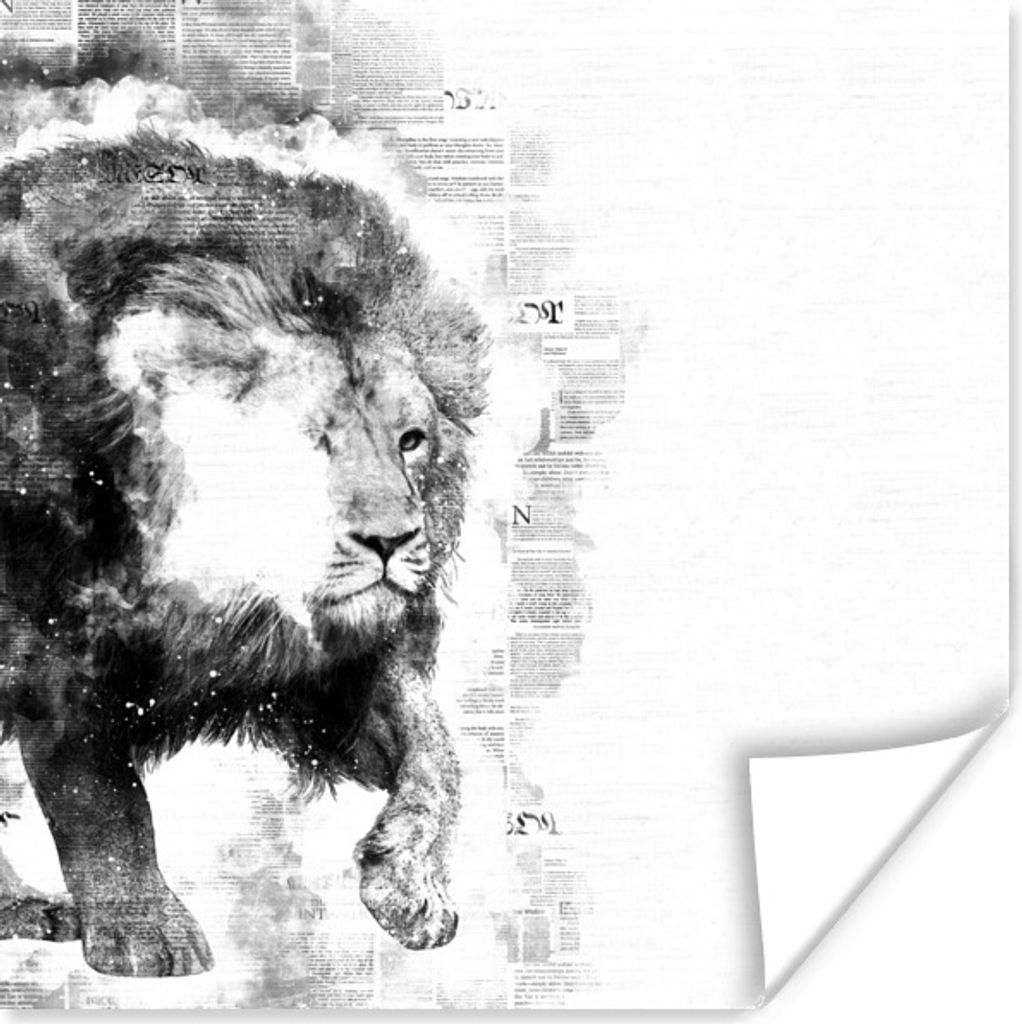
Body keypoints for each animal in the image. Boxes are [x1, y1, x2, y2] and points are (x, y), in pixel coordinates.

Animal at [0, 132, 487, 976]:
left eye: (411, 440)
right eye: (311, 442)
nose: (393, 541)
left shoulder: (327, 673)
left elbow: (437, 751)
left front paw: (409, 886)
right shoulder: (53, 644)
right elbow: (104, 796)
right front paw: (148, 936)